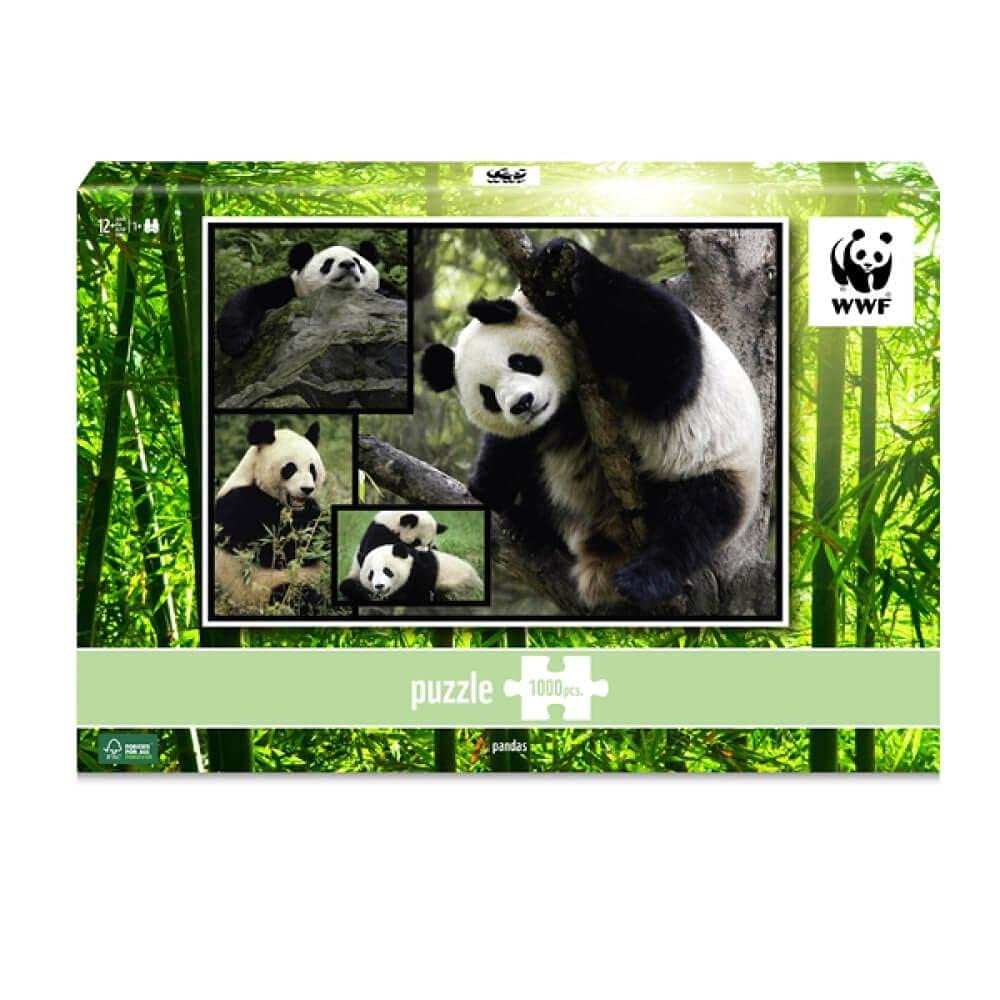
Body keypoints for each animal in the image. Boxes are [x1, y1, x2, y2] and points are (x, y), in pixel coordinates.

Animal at [214, 419, 328, 612]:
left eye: (312, 469)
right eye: (290, 468)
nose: (307, 489)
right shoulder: (239, 505)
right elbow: (272, 550)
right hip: (257, 592)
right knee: (294, 594)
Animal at [216, 240, 382, 357]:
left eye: (358, 262)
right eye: (328, 263)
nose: (348, 264)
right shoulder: (289, 289)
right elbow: (249, 298)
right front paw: (237, 343)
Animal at [342, 542, 483, 604]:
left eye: (387, 571)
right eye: (371, 574)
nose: (379, 586)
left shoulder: (421, 573)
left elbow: (412, 596)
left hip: (459, 586)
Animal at [420, 237, 763, 610]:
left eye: (521, 362)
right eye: (488, 396)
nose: (523, 404)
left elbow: (667, 361)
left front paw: (559, 257)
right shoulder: (544, 421)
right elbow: (508, 450)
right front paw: (487, 490)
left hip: (715, 466)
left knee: (693, 519)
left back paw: (643, 578)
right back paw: (531, 525)